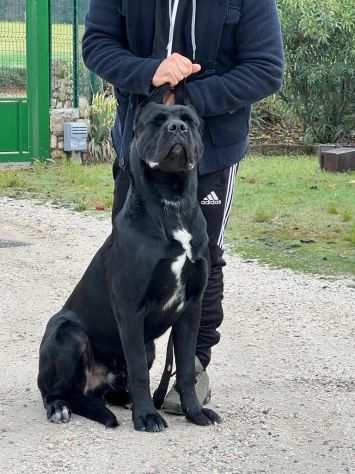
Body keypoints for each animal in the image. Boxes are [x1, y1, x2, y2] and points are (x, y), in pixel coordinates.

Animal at [37, 90, 221, 434]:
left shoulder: (191, 308)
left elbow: (185, 369)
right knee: (56, 390)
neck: (172, 202)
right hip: (67, 333)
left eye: (189, 120)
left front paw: (194, 412)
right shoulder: (130, 308)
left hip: (147, 347)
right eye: (157, 121)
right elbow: (138, 372)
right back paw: (61, 407)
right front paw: (147, 416)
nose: (177, 128)